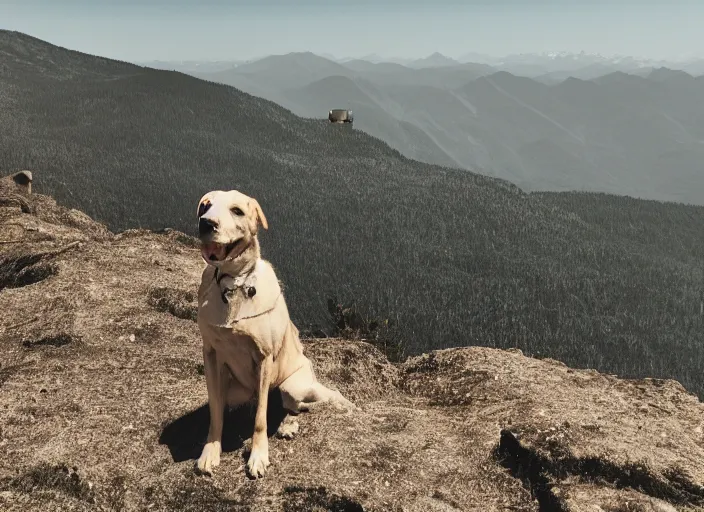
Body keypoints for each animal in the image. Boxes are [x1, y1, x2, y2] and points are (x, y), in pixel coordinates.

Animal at [195, 190, 354, 478]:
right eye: (205, 207)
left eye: (237, 211)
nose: (206, 224)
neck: (234, 284)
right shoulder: (210, 355)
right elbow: (215, 412)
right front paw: (211, 450)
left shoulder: (264, 357)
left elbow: (260, 419)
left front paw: (258, 456)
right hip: (237, 391)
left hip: (292, 385)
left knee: (302, 406)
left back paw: (291, 424)